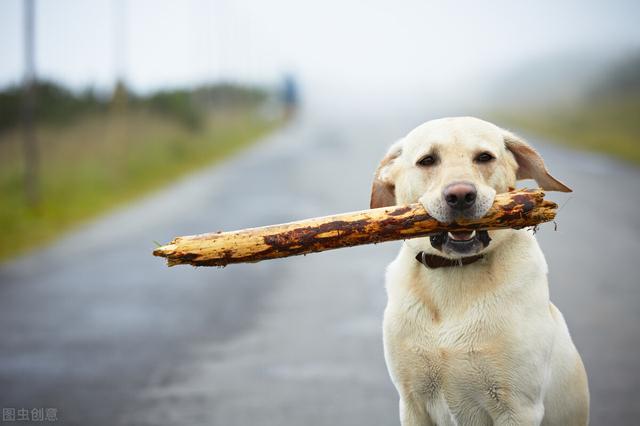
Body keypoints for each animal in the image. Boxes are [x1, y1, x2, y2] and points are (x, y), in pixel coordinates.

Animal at [370, 117, 592, 426]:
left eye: (484, 157)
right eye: (427, 160)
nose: (461, 196)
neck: (455, 273)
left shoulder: (517, 408)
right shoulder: (412, 402)